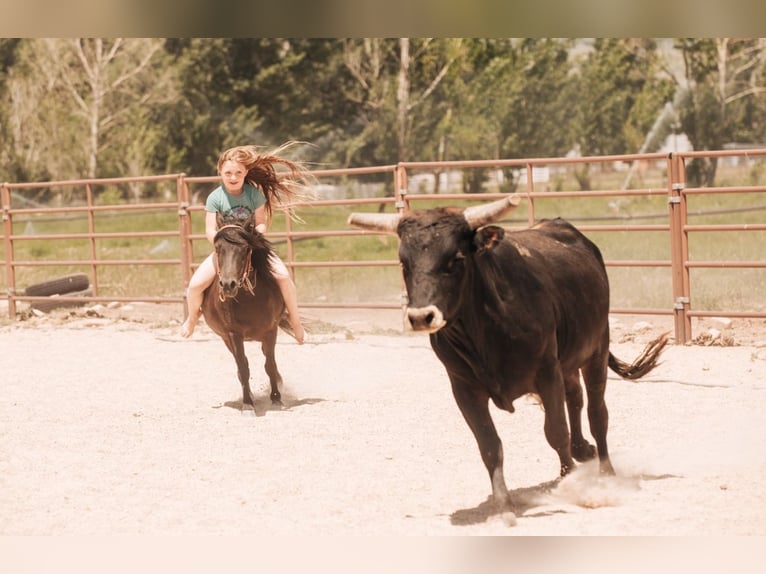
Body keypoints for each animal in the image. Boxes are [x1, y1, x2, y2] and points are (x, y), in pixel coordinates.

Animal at [200, 214, 293, 411]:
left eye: (244, 248)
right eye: (218, 248)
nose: (228, 285)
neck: (249, 299)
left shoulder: (271, 330)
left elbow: (269, 365)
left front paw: (276, 398)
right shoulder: (233, 334)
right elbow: (243, 368)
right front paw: (248, 404)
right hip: (226, 339)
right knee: (241, 365)